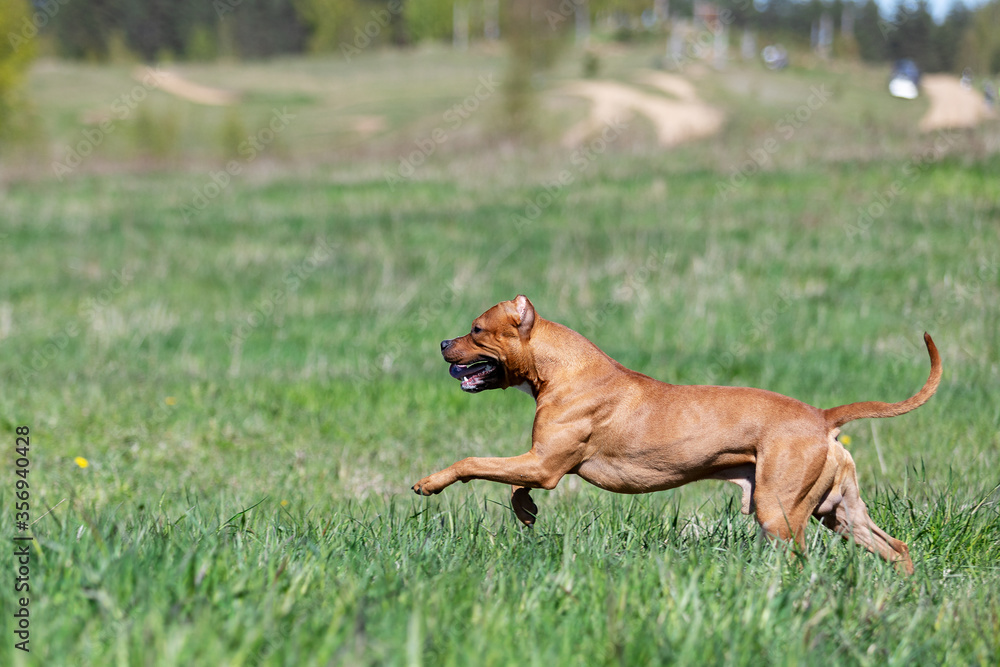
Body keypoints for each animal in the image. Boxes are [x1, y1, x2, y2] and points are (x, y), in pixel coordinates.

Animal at [410, 298, 940, 576]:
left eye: (476, 329)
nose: (442, 342)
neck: (561, 367)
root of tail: (821, 416)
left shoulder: (543, 464)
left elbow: (473, 462)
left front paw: (430, 483)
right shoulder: (541, 461)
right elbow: (513, 484)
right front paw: (526, 511)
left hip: (779, 510)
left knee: (799, 557)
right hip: (839, 511)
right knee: (895, 547)